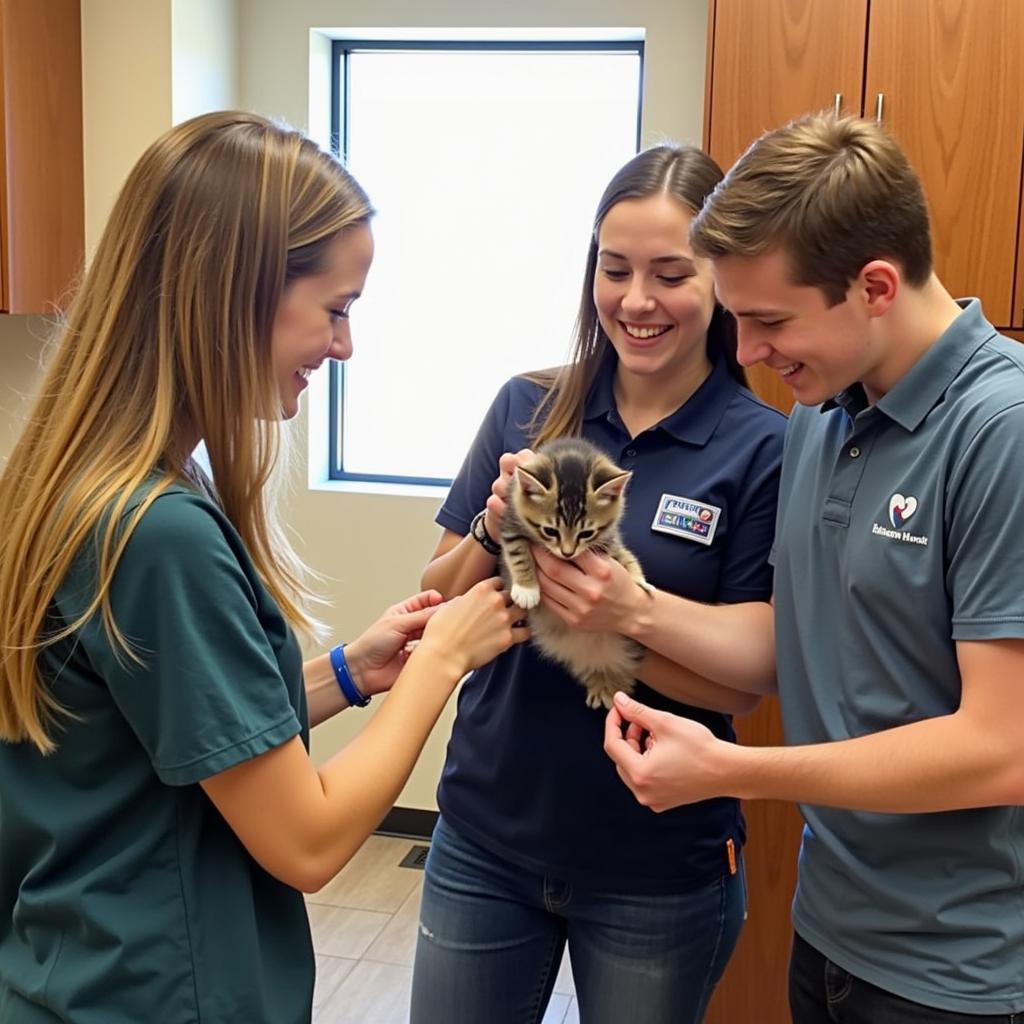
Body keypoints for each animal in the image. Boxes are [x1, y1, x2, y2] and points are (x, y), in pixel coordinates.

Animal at [499, 436, 651, 708]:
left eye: (586, 533)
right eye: (550, 531)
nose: (567, 553)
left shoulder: (608, 540)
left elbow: (626, 556)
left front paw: (638, 581)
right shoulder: (511, 523)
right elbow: (518, 552)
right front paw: (527, 589)